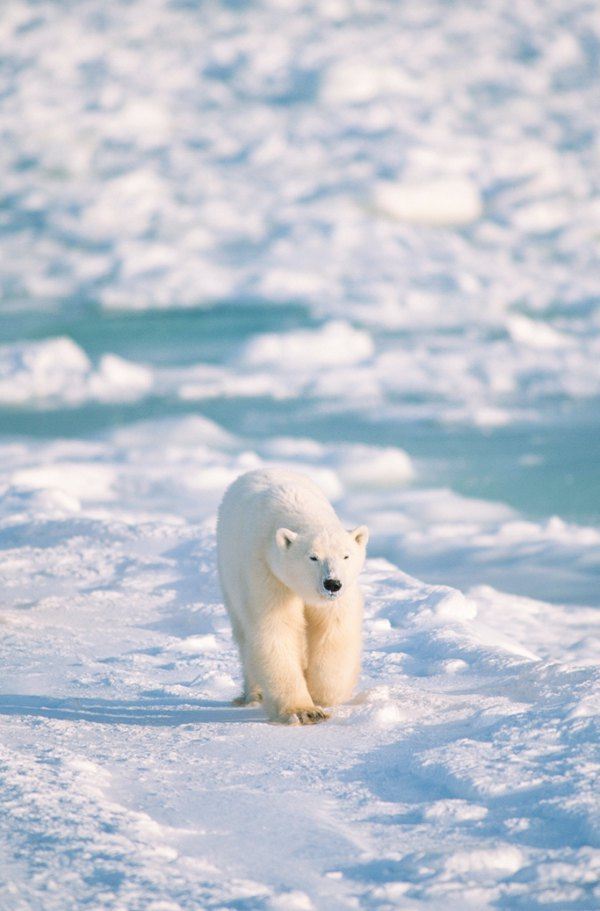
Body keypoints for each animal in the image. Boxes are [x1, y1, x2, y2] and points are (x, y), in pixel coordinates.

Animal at [216, 470, 366, 728]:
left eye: (346, 556)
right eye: (312, 557)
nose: (332, 584)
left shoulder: (337, 598)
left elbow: (333, 630)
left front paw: (320, 693)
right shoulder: (267, 573)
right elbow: (276, 630)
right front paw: (306, 711)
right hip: (229, 577)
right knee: (245, 636)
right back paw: (254, 694)